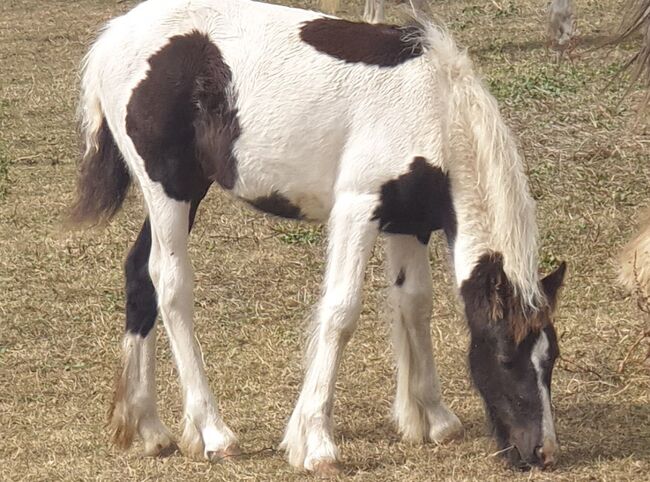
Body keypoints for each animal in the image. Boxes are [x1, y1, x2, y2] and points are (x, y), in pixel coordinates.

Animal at [71, 0, 564, 474]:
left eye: (551, 357)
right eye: (507, 356)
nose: (542, 452)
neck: (436, 108)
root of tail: (112, 37)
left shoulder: (410, 222)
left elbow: (414, 303)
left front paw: (432, 418)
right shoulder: (357, 209)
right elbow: (341, 312)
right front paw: (316, 443)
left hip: (188, 190)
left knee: (139, 274)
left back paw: (150, 428)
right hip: (169, 187)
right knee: (169, 285)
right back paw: (213, 433)